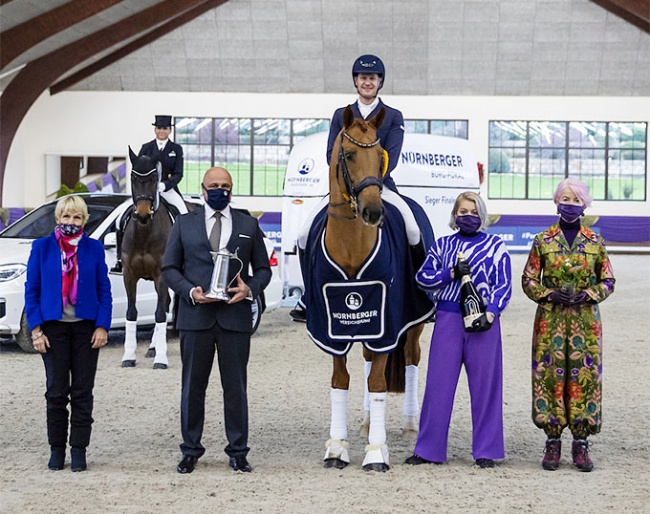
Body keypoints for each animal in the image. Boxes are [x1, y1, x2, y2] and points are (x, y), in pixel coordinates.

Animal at [306, 106, 428, 470]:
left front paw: (376, 451)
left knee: (410, 359)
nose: (373, 212)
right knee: (368, 358)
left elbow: (378, 381)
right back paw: (367, 420)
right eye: (348, 154)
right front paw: (337, 448)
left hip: (412, 323)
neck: (351, 246)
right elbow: (340, 381)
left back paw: (408, 424)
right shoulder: (329, 324)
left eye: (380, 156)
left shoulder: (386, 321)